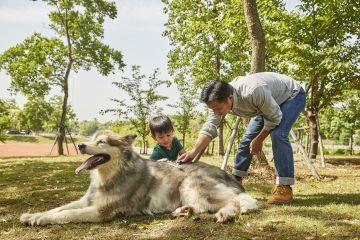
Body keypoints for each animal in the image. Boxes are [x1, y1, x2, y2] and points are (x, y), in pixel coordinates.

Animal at [19, 129, 258, 225]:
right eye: (93, 138)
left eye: (102, 142)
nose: (80, 145)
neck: (109, 176)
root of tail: (229, 175)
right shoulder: (86, 200)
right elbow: (60, 208)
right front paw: (33, 215)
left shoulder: (102, 210)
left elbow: (67, 215)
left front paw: (40, 219)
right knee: (202, 207)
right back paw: (183, 211)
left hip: (191, 185)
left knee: (242, 200)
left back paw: (226, 213)